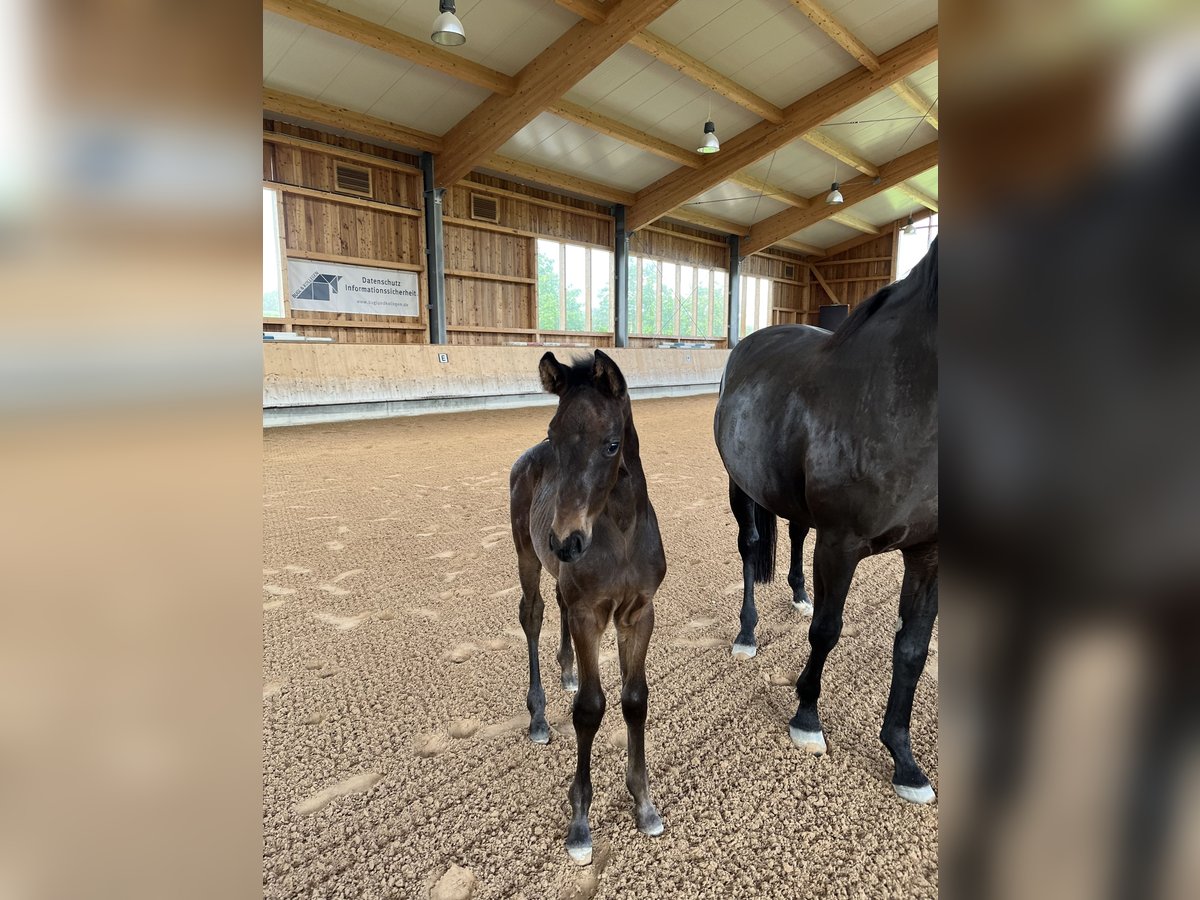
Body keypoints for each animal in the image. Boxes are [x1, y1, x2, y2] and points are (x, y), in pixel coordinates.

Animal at [511, 350, 672, 868]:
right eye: (552, 434)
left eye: (611, 444)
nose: (565, 542)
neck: (618, 533)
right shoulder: (589, 616)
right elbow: (590, 709)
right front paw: (580, 822)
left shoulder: (639, 613)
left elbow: (634, 700)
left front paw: (644, 804)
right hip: (526, 555)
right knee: (534, 614)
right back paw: (539, 717)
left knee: (557, 603)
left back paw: (567, 670)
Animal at [710, 237, 936, 801]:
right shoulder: (841, 543)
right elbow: (828, 631)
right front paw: (807, 717)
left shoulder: (930, 554)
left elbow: (913, 649)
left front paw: (904, 760)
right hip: (740, 487)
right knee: (750, 547)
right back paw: (747, 634)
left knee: (793, 532)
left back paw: (797, 592)